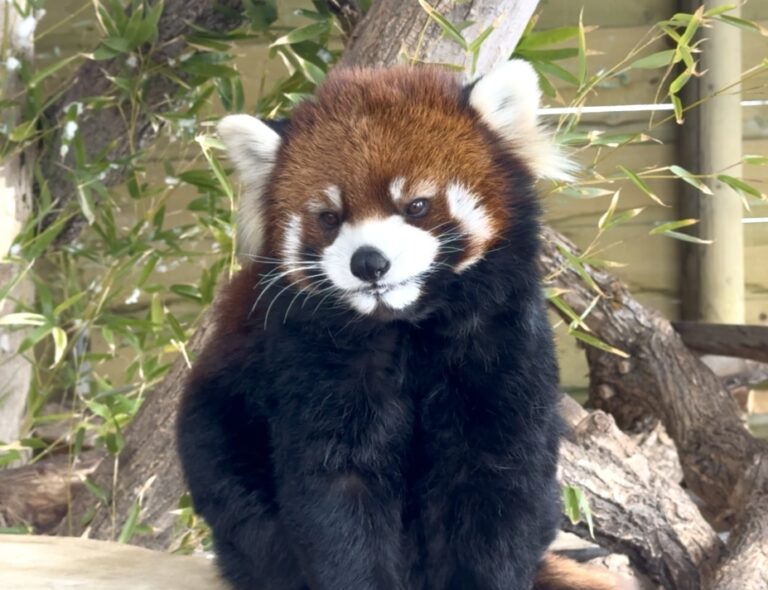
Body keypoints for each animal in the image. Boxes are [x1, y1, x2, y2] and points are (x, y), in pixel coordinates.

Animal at [177, 60, 630, 590]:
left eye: (415, 206)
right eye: (329, 217)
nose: (368, 262)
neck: (406, 324)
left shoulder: (502, 347)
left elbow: (496, 484)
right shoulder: (312, 360)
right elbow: (337, 493)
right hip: (220, 440)